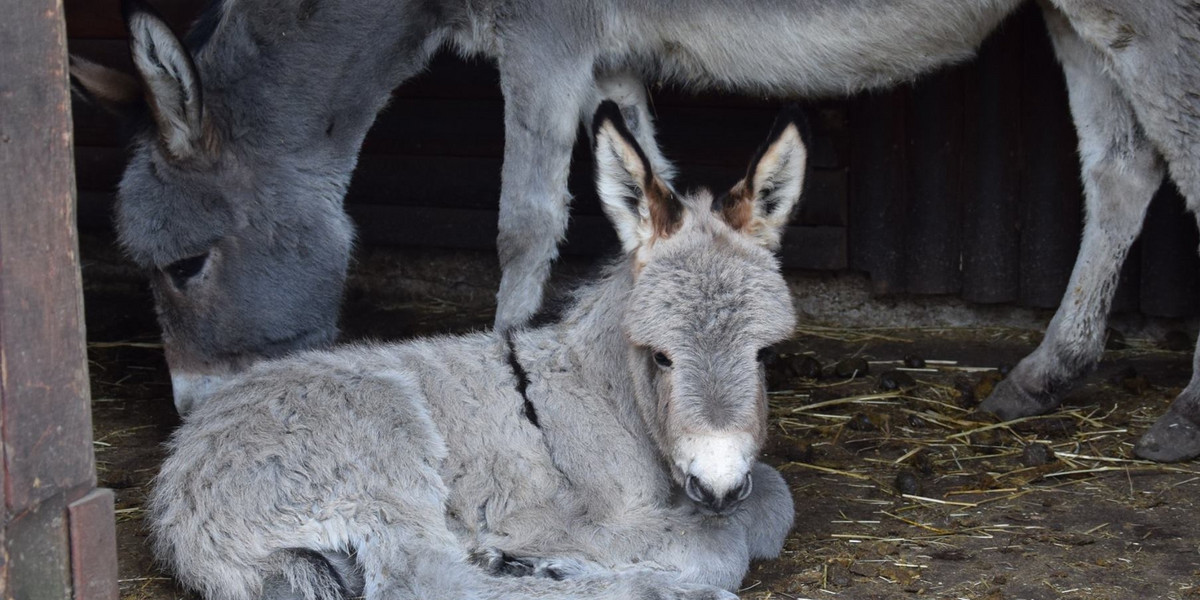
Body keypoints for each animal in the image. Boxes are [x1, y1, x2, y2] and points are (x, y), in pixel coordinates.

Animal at [152, 103, 806, 600]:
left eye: (765, 356)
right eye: (661, 357)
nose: (717, 485)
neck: (607, 395)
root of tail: (182, 492)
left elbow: (772, 497)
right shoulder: (573, 516)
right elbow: (723, 543)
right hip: (382, 450)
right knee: (423, 582)